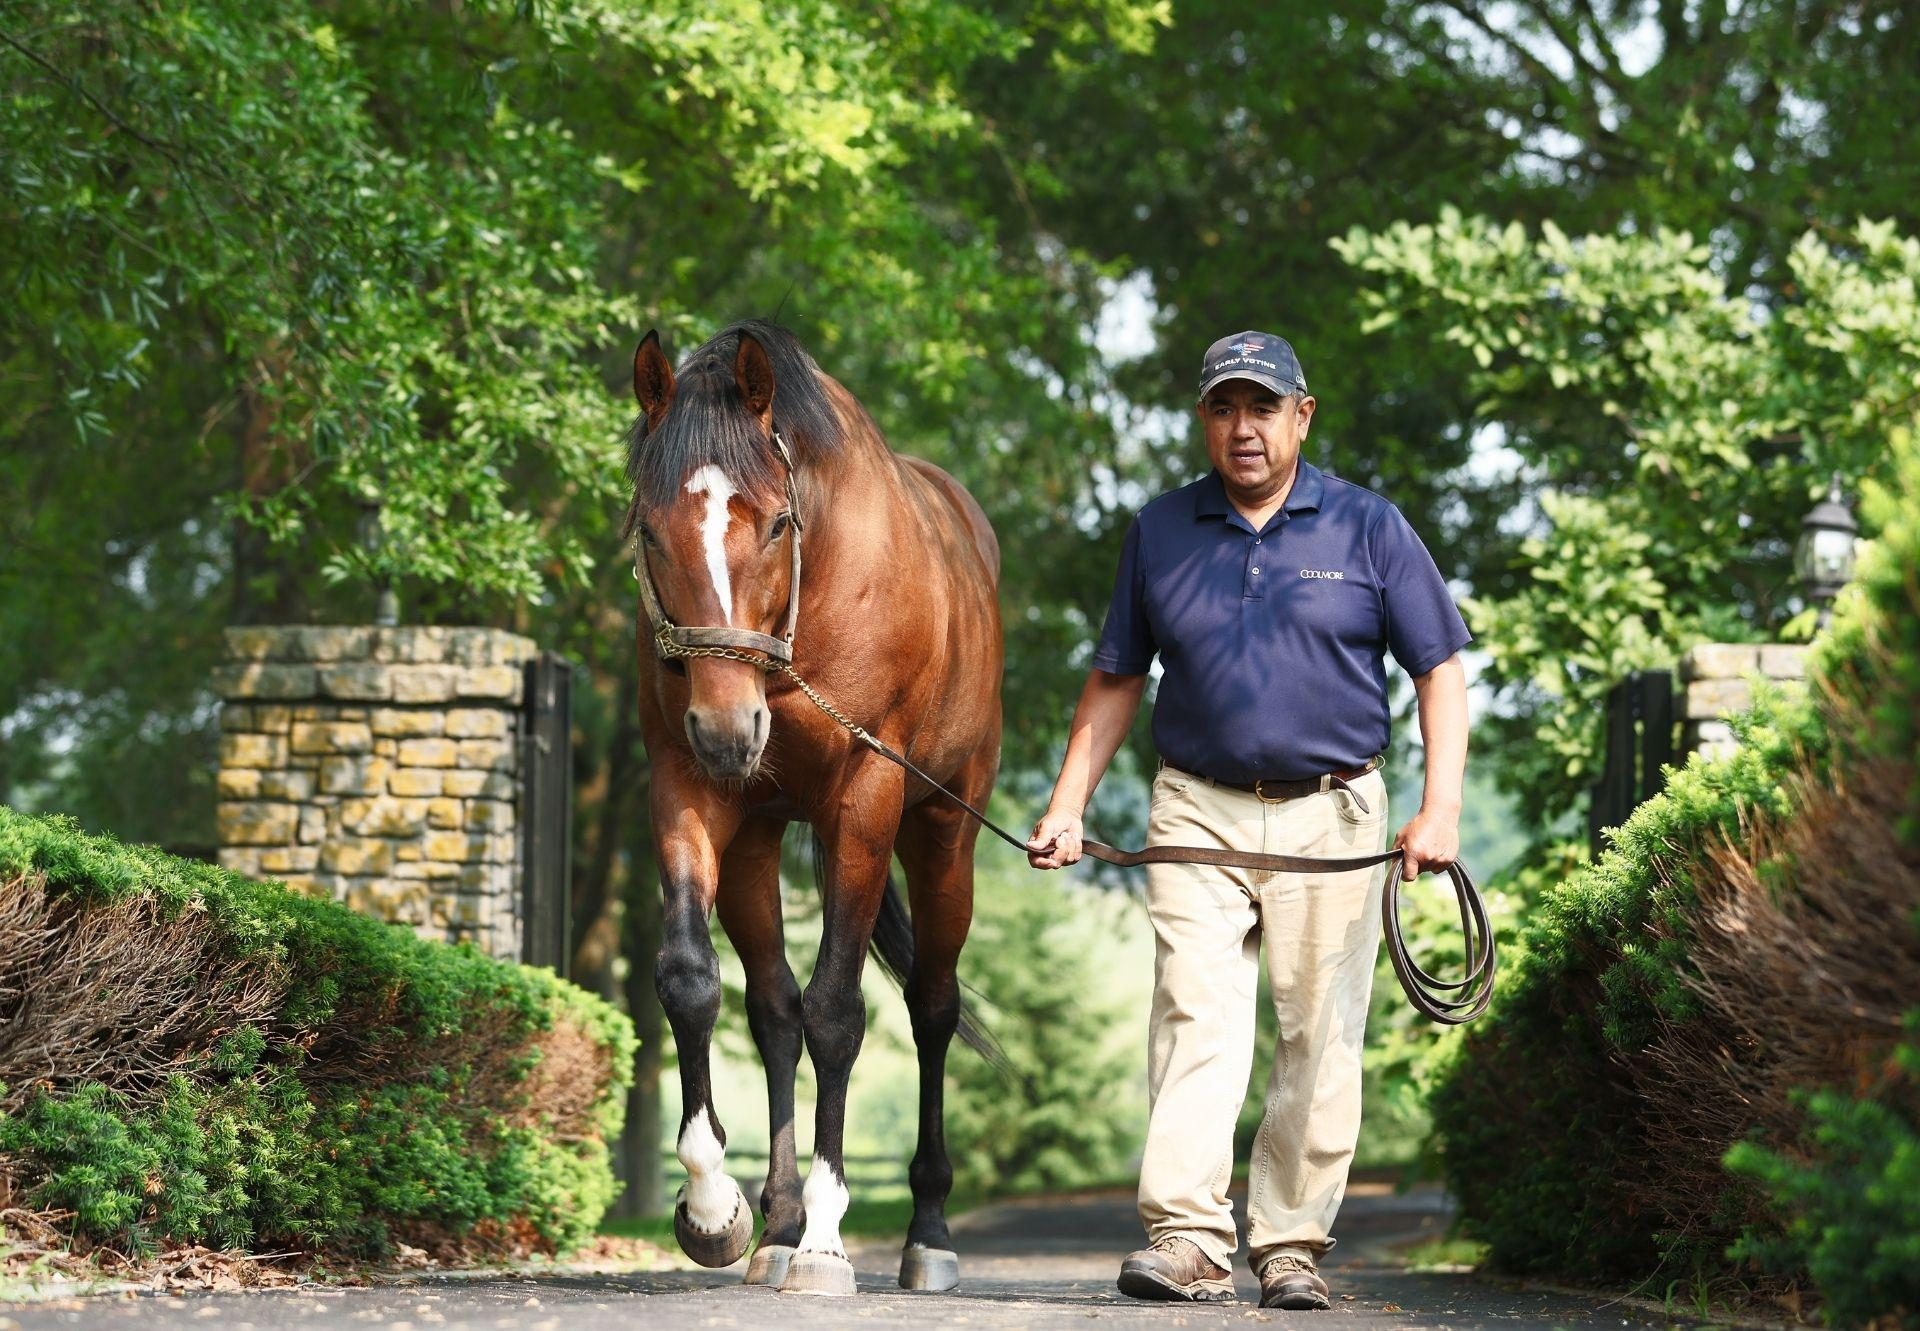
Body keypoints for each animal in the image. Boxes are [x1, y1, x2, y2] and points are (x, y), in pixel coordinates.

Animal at [622, 322, 1006, 1298]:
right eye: (649, 528)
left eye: (775, 523)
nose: (729, 727)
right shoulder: (686, 783)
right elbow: (692, 980)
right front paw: (716, 1209)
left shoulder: (867, 795)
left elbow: (839, 1010)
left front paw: (831, 1243)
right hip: (759, 837)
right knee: (772, 1009)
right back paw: (778, 1224)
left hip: (943, 832)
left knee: (930, 1006)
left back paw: (925, 1231)